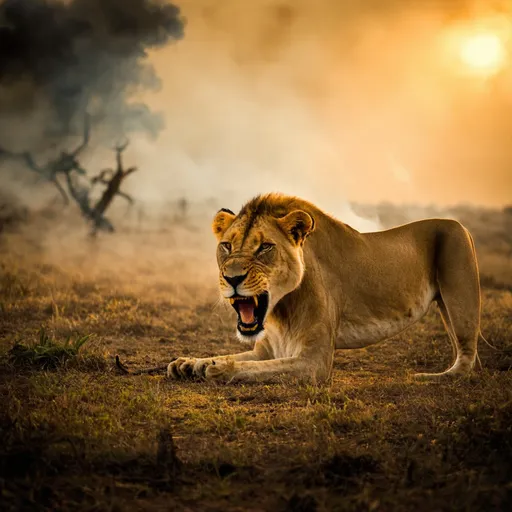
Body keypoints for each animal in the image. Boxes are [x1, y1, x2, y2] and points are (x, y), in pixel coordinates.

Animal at [168, 193, 488, 384]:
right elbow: (236, 357)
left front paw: (218, 369)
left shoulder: (314, 362)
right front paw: (190, 362)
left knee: (467, 356)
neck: (278, 311)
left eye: (265, 247)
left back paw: (433, 376)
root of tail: (460, 225)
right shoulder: (266, 350)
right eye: (226, 246)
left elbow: (252, 369)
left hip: (460, 297)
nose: (232, 278)